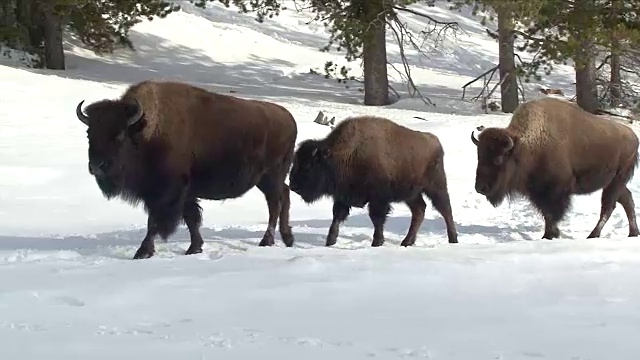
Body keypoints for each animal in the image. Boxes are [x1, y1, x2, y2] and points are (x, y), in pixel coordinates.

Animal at [74, 80, 298, 258]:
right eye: (89, 134)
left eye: (119, 135)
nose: (97, 166)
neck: (145, 133)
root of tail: (289, 118)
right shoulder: (185, 193)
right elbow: (191, 218)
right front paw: (194, 248)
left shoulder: (166, 193)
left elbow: (154, 222)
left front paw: (143, 251)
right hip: (268, 179)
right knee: (284, 195)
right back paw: (288, 239)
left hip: (271, 176)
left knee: (274, 205)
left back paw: (267, 240)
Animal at [288, 115, 458, 248]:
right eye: (295, 162)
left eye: (309, 166)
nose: (293, 185)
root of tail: (435, 141)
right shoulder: (343, 197)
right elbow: (337, 216)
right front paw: (330, 241)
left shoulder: (378, 199)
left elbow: (376, 218)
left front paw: (377, 242)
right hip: (411, 194)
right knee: (419, 211)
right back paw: (407, 242)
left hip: (435, 187)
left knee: (445, 209)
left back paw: (453, 239)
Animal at [470, 97, 640, 240]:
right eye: (479, 156)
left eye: (498, 160)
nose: (480, 188)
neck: (526, 146)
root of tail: (633, 137)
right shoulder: (539, 192)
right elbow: (547, 214)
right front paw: (550, 234)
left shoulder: (555, 191)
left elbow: (551, 214)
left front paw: (549, 235)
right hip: (614, 183)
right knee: (626, 200)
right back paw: (633, 233)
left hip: (616, 180)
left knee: (609, 206)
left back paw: (593, 235)